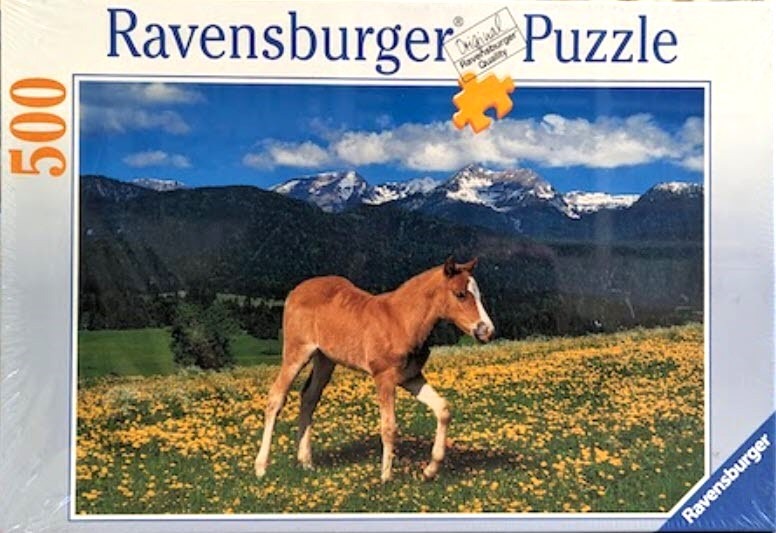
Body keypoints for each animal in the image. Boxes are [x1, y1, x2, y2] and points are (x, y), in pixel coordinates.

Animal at [254, 257, 495, 482]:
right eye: (460, 294)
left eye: (479, 295)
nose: (487, 331)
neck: (402, 321)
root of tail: (295, 291)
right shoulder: (384, 377)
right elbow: (389, 426)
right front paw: (386, 477)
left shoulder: (411, 377)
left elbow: (443, 409)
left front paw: (429, 470)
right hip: (296, 353)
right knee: (276, 397)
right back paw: (261, 467)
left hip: (325, 360)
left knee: (309, 397)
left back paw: (305, 462)